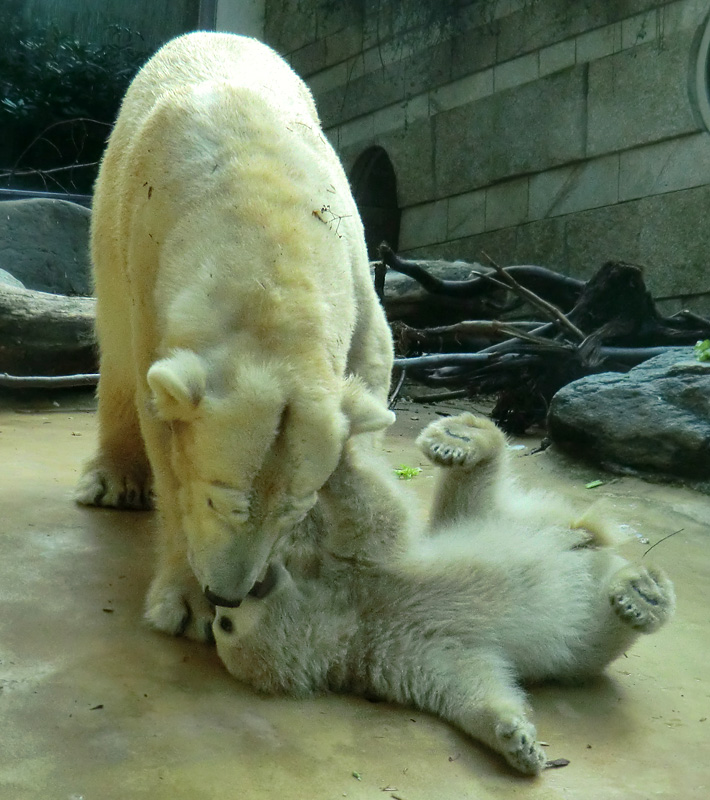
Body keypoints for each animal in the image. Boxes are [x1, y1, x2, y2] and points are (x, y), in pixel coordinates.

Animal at [80, 34, 398, 640]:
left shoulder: (355, 263)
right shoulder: (149, 263)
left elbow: (371, 368)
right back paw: (112, 481)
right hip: (107, 215)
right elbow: (163, 424)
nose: (228, 594)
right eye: (217, 501)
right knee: (115, 345)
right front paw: (189, 608)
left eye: (295, 509)